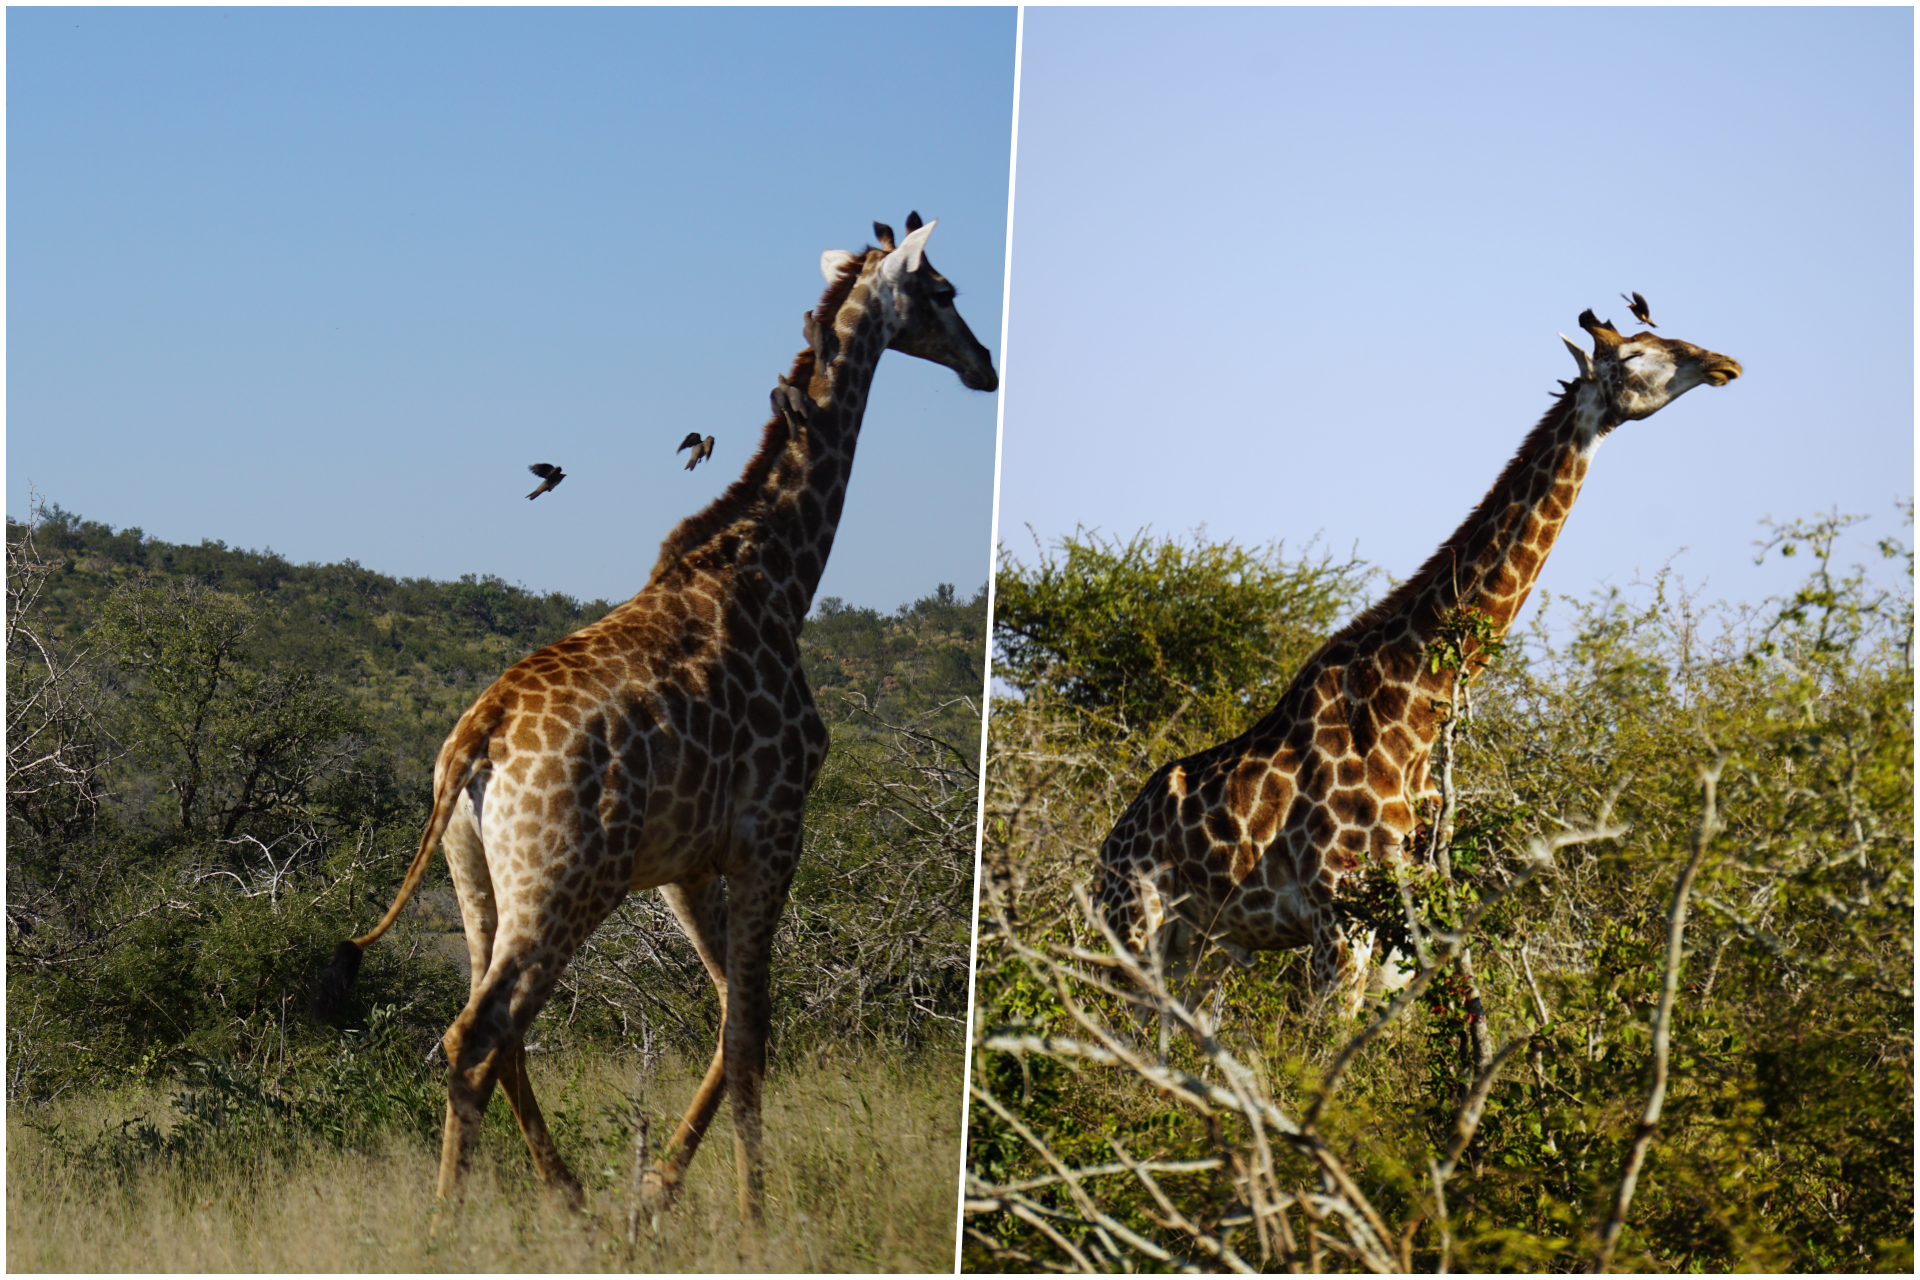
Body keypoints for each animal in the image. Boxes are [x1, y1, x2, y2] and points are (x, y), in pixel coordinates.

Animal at [312, 214, 996, 1221]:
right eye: (944, 291)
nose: (985, 365)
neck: (776, 580)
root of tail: (473, 741)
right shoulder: (773, 829)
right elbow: (751, 1029)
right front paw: (750, 1218)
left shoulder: (685, 866)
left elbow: (733, 1017)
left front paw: (657, 1192)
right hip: (566, 882)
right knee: (478, 1035)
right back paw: (455, 1224)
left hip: (478, 880)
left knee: (493, 1034)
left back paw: (570, 1200)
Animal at [1094, 309, 1739, 1012]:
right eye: (1635, 354)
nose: (1724, 364)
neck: (1410, 715)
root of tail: (1106, 850)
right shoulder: (1336, 916)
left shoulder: (1404, 919)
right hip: (1134, 934)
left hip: (1202, 950)